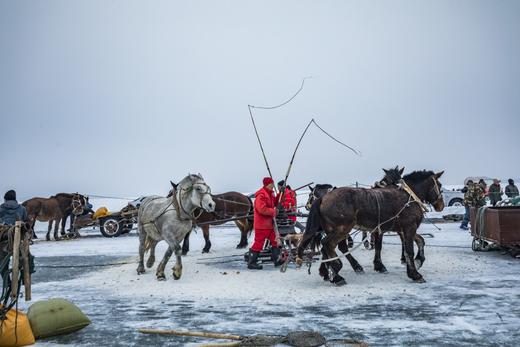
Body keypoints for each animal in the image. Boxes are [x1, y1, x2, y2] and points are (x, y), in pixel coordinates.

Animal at [298, 170, 444, 286]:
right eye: (440, 185)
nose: (440, 205)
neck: (409, 196)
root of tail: (323, 198)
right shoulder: (409, 227)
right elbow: (409, 251)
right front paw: (415, 274)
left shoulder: (400, 229)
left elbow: (420, 241)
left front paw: (418, 261)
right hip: (342, 229)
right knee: (328, 244)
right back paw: (338, 271)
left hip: (333, 229)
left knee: (330, 248)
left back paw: (331, 272)